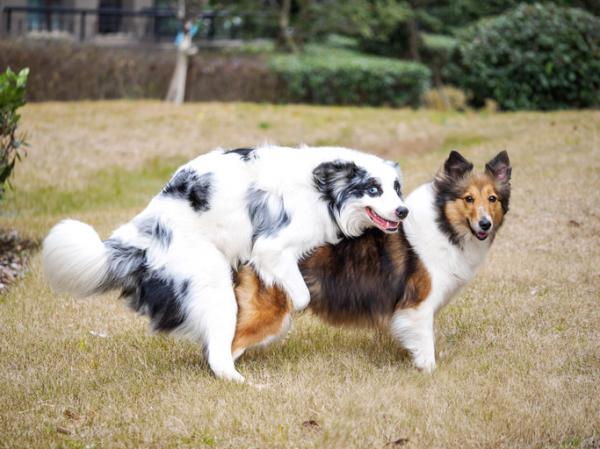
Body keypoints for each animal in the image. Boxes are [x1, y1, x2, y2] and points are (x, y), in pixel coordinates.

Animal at [42, 144, 408, 382]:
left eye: (396, 189)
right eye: (373, 189)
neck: (323, 190)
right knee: (217, 355)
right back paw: (241, 379)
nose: (403, 211)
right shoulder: (272, 247)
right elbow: (300, 295)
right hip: (212, 281)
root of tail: (141, 235)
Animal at [231, 150, 510, 372]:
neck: (443, 224)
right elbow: (425, 344)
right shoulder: (418, 306)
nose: (485, 224)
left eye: (492, 199)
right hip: (269, 314)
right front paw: (429, 371)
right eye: (468, 198)